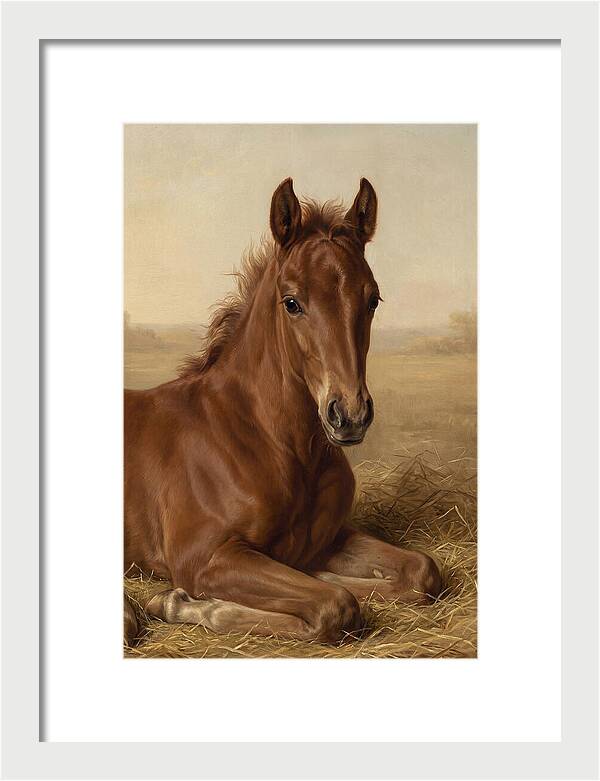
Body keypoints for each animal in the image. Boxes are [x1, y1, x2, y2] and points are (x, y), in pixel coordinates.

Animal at [124, 177, 441, 646]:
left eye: (373, 299)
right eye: (291, 302)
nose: (349, 415)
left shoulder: (327, 539)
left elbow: (421, 572)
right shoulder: (203, 558)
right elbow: (336, 604)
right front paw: (177, 602)